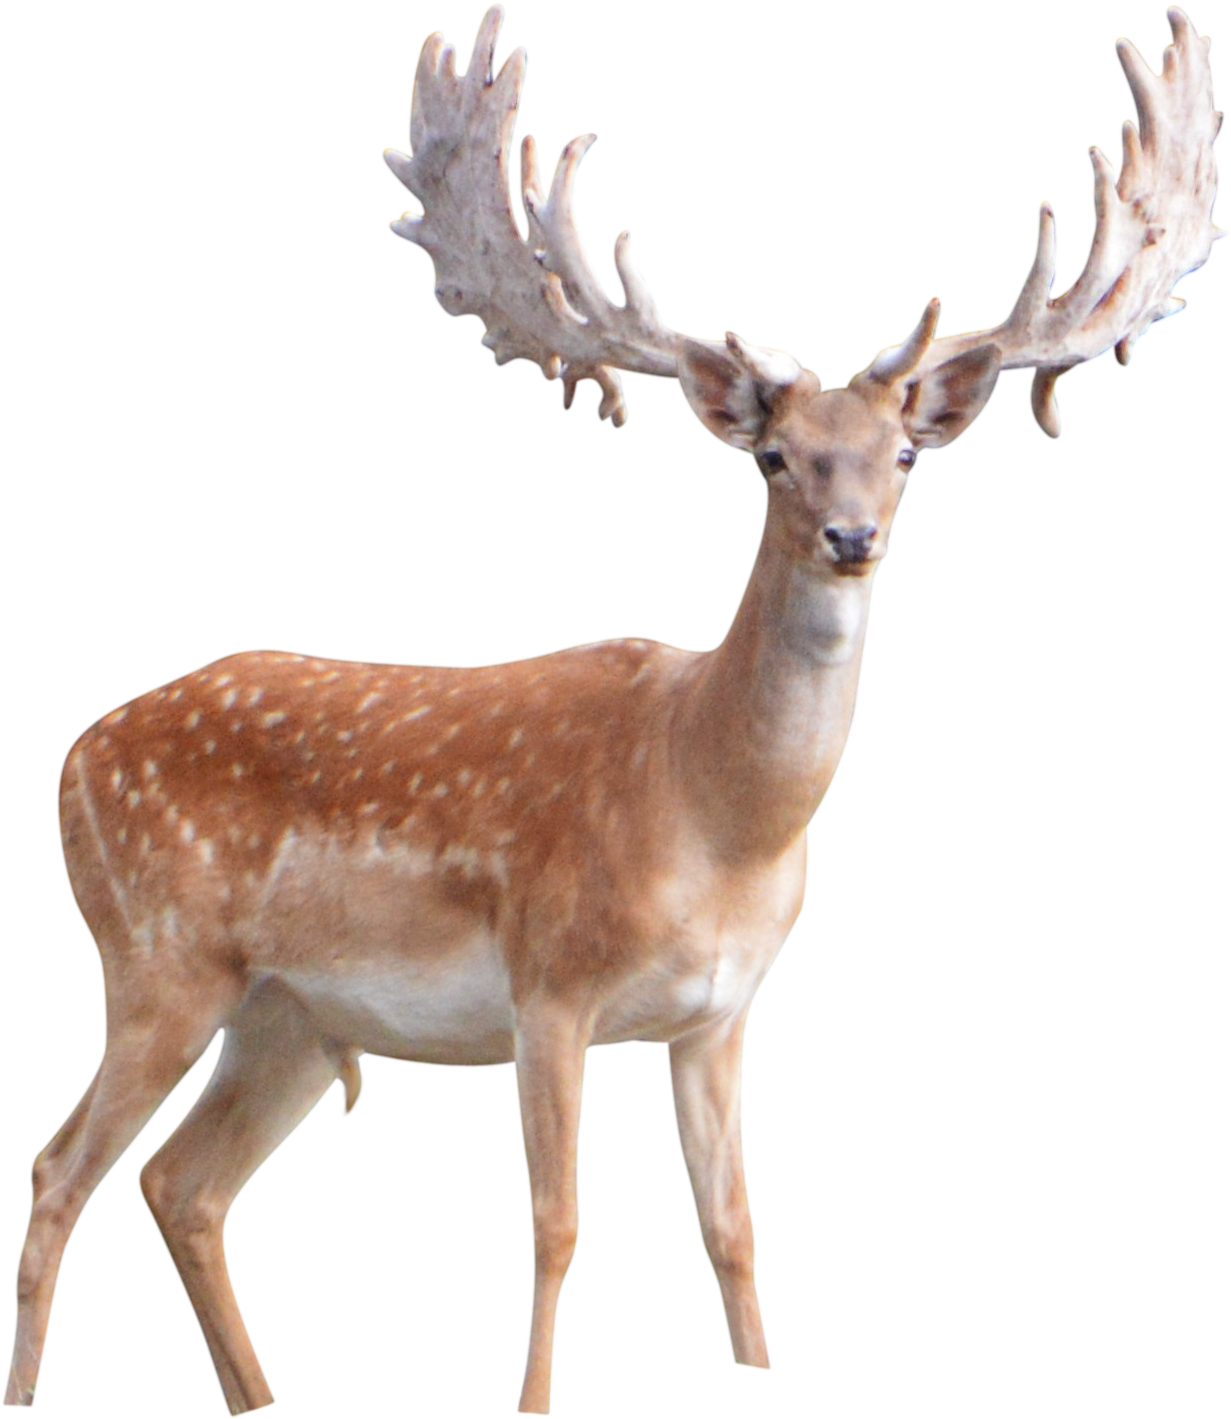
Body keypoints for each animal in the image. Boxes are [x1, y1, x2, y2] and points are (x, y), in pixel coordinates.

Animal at [5, 3, 1224, 1415]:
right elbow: (557, 1223)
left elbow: (733, 1229)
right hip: (156, 956)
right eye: (772, 459)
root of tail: (73, 758)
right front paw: (530, 1400)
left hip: (292, 1018)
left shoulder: (721, 1012)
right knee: (62, 1168)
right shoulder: (549, 982)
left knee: (182, 1184)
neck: (710, 808)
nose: (853, 536)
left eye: (906, 455)